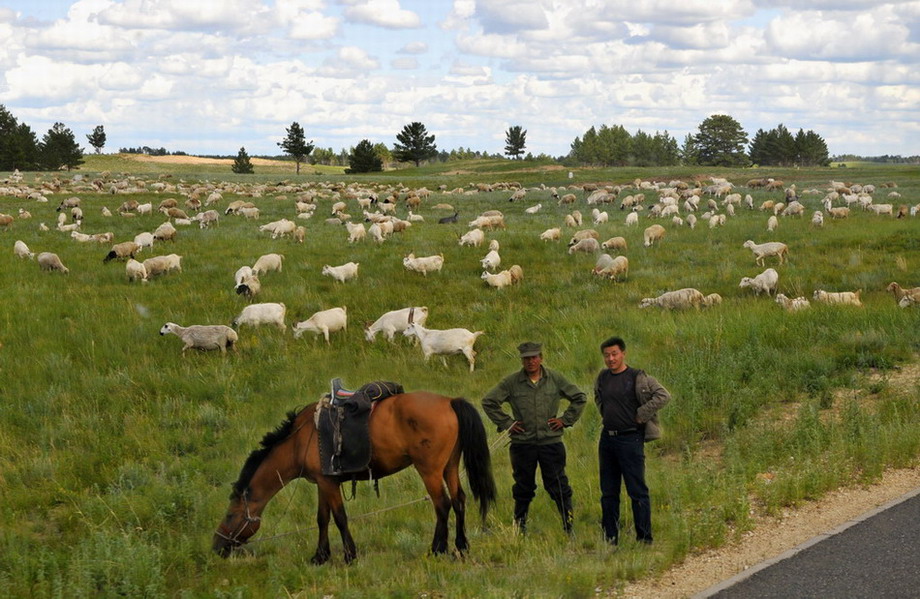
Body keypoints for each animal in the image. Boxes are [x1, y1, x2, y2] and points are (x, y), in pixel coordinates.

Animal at [212, 392, 496, 564]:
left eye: (230, 515)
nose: (217, 546)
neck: (300, 440)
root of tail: (449, 401)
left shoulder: (328, 483)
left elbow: (339, 517)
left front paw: (349, 555)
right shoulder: (323, 483)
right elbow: (322, 518)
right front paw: (320, 556)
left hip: (430, 471)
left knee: (442, 505)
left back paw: (437, 548)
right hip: (449, 467)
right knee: (459, 501)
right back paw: (461, 545)